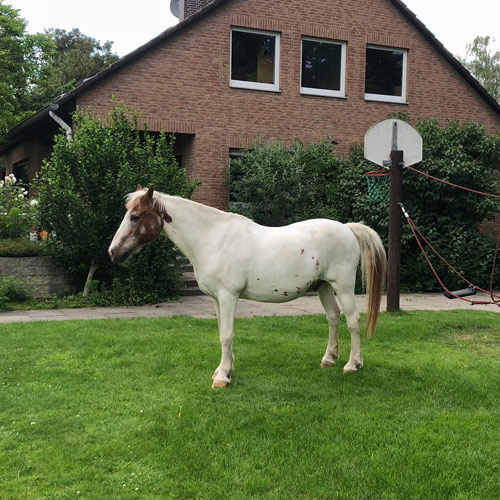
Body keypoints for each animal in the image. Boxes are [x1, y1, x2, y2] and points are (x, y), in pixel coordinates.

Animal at [108, 186, 386, 388]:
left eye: (135, 217)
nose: (113, 252)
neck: (213, 239)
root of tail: (347, 229)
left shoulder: (228, 296)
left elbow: (227, 335)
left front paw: (222, 378)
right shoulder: (216, 299)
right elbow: (221, 332)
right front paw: (223, 370)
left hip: (343, 286)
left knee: (352, 320)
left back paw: (353, 364)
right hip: (324, 287)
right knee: (333, 317)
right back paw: (328, 359)